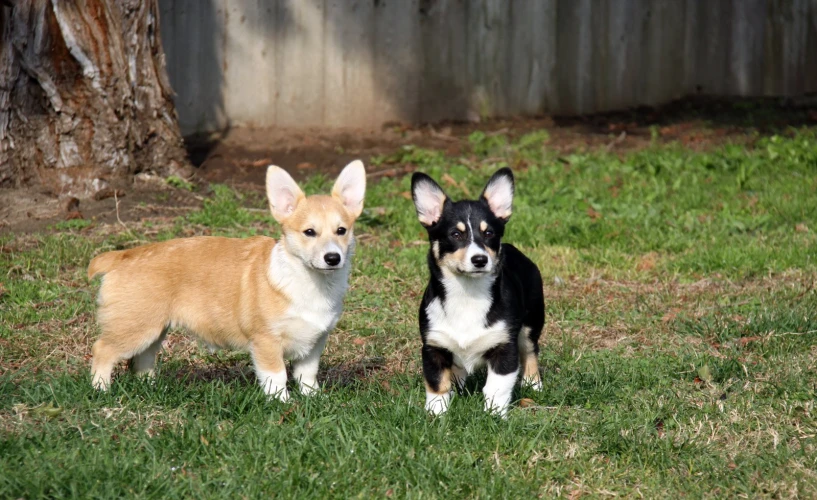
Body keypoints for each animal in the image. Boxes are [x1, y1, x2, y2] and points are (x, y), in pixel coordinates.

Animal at [87, 161, 364, 402]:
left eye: (341, 231)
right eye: (309, 232)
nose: (333, 258)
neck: (310, 281)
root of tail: (121, 256)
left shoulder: (315, 342)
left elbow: (307, 375)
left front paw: (313, 398)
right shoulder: (266, 341)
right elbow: (277, 376)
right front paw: (283, 403)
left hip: (154, 328)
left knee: (143, 358)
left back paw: (153, 387)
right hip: (135, 327)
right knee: (103, 349)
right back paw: (101, 390)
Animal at [412, 168, 544, 418]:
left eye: (489, 233)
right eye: (455, 234)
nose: (480, 259)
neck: (467, 294)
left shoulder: (505, 348)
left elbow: (496, 387)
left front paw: (494, 415)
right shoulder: (433, 347)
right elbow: (437, 384)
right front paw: (436, 414)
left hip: (532, 322)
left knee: (531, 350)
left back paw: (534, 384)